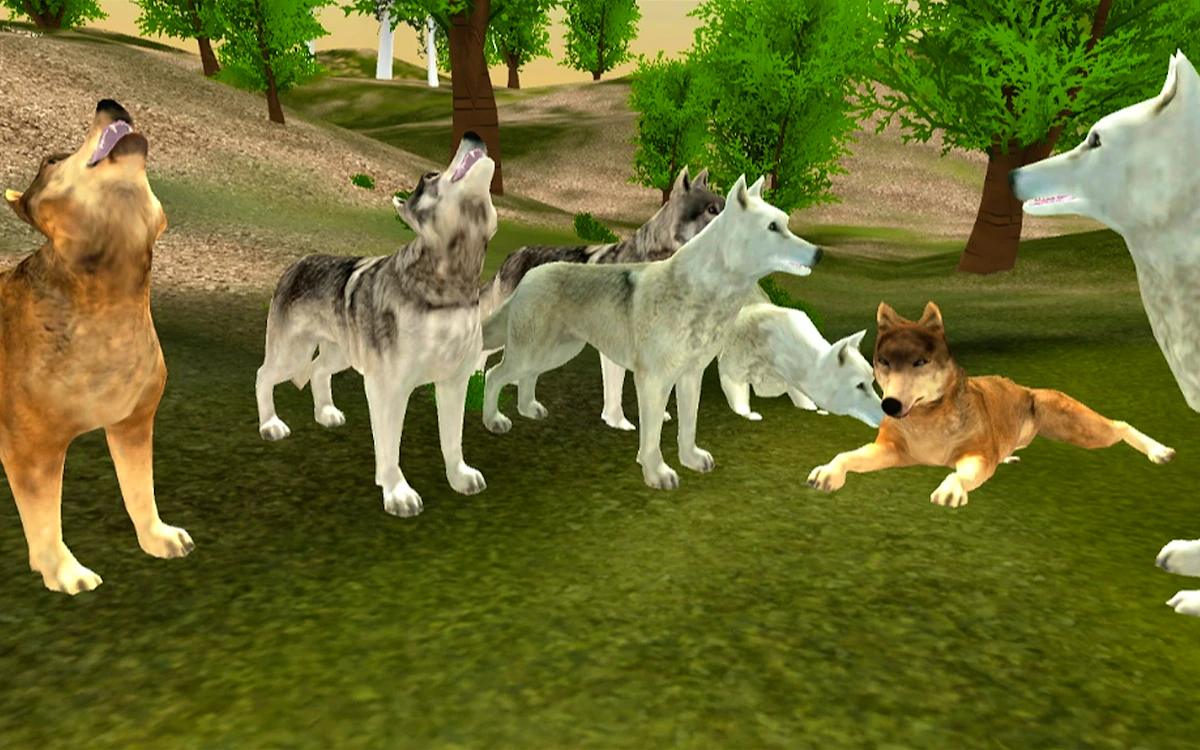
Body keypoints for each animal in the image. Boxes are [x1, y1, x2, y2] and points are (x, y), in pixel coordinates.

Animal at [2, 100, 193, 594]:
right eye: (51, 160)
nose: (110, 103)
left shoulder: (133, 425)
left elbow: (140, 490)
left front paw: (158, 536)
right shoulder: (32, 451)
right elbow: (44, 518)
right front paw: (64, 571)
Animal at [255, 132, 497, 518]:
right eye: (429, 176)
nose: (473, 135)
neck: (450, 283)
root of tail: (296, 264)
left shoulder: (453, 383)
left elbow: (452, 440)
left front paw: (459, 477)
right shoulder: (387, 388)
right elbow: (389, 448)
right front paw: (397, 492)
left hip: (341, 353)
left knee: (318, 370)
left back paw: (325, 412)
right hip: (292, 354)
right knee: (264, 374)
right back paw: (270, 425)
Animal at [717, 300, 885, 429]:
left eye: (872, 382)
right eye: (860, 385)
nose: (886, 417)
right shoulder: (732, 372)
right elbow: (740, 400)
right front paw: (749, 414)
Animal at [807, 303, 1175, 507]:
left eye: (920, 362)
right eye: (883, 361)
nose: (890, 406)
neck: (928, 421)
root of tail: (1026, 388)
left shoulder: (976, 456)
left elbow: (961, 473)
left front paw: (951, 490)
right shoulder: (891, 450)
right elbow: (847, 455)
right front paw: (827, 472)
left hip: (1080, 429)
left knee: (1120, 425)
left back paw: (1160, 451)